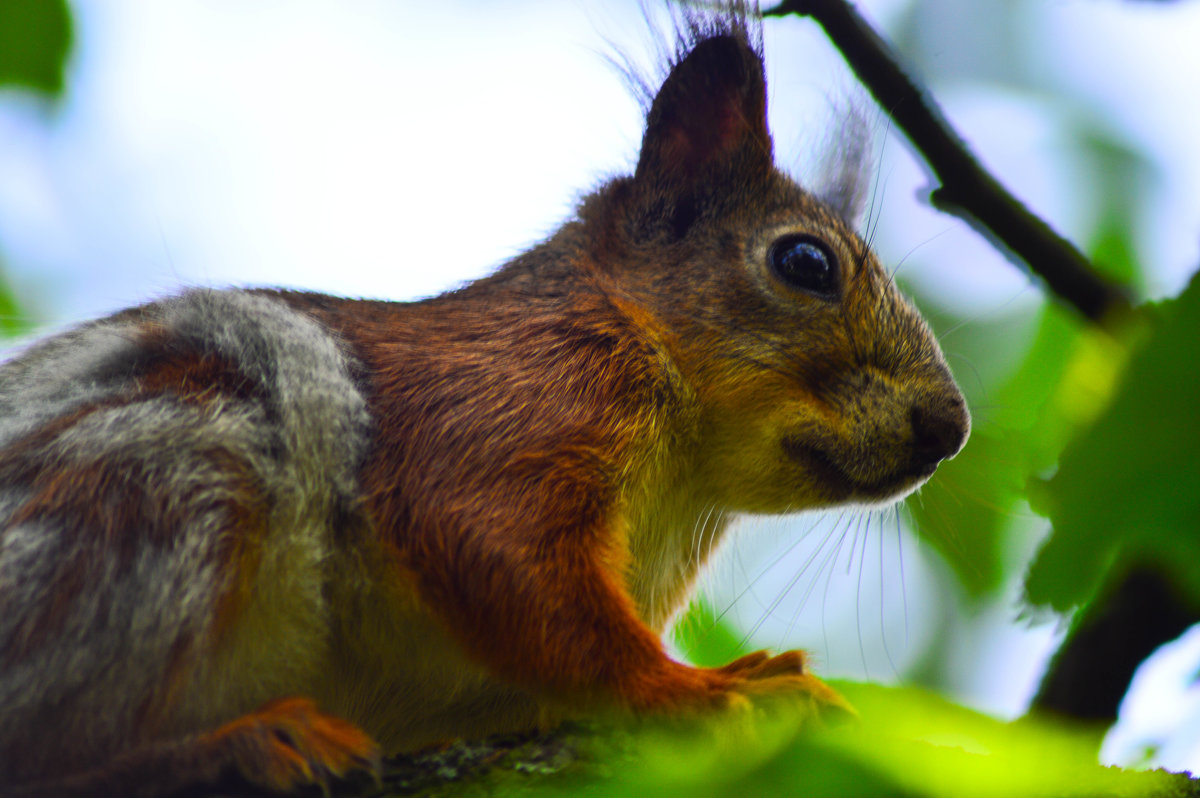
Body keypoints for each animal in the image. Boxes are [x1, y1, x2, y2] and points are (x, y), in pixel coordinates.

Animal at [0, 3, 964, 792]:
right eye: (805, 262)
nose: (948, 429)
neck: (686, 480)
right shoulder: (510, 405)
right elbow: (505, 557)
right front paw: (702, 687)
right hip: (155, 492)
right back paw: (240, 748)